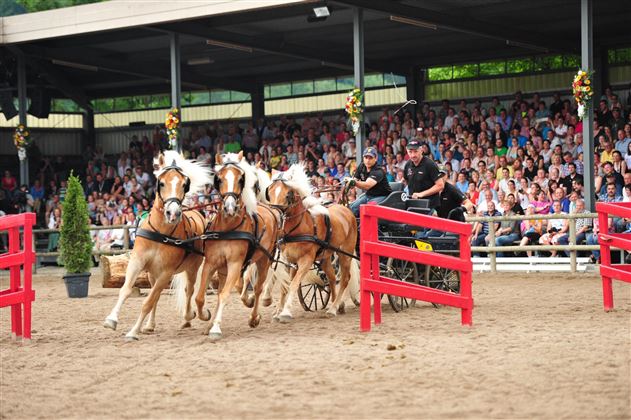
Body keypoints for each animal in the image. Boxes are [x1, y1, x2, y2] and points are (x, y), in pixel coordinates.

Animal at [103, 149, 212, 340]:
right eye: (161, 183)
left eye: (184, 185)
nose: (172, 213)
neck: (161, 232)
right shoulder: (137, 262)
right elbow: (126, 289)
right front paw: (112, 320)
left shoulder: (166, 272)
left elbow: (147, 302)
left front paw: (133, 331)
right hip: (152, 273)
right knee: (158, 294)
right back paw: (149, 325)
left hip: (191, 268)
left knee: (188, 290)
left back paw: (187, 317)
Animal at [175, 152, 278, 342]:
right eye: (219, 179)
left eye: (240, 179)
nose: (230, 207)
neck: (228, 228)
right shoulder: (211, 264)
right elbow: (200, 297)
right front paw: (206, 318)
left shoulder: (236, 265)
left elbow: (225, 294)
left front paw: (216, 327)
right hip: (224, 269)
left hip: (263, 260)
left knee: (258, 289)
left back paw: (254, 317)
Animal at [264, 163, 358, 322]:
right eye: (269, 192)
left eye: (287, 194)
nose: (275, 216)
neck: (299, 225)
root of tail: (346, 209)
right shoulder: (289, 260)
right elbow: (285, 285)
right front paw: (277, 312)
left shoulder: (306, 260)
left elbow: (294, 283)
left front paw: (285, 312)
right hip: (326, 257)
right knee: (332, 278)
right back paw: (337, 305)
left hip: (345, 253)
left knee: (345, 279)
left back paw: (333, 308)